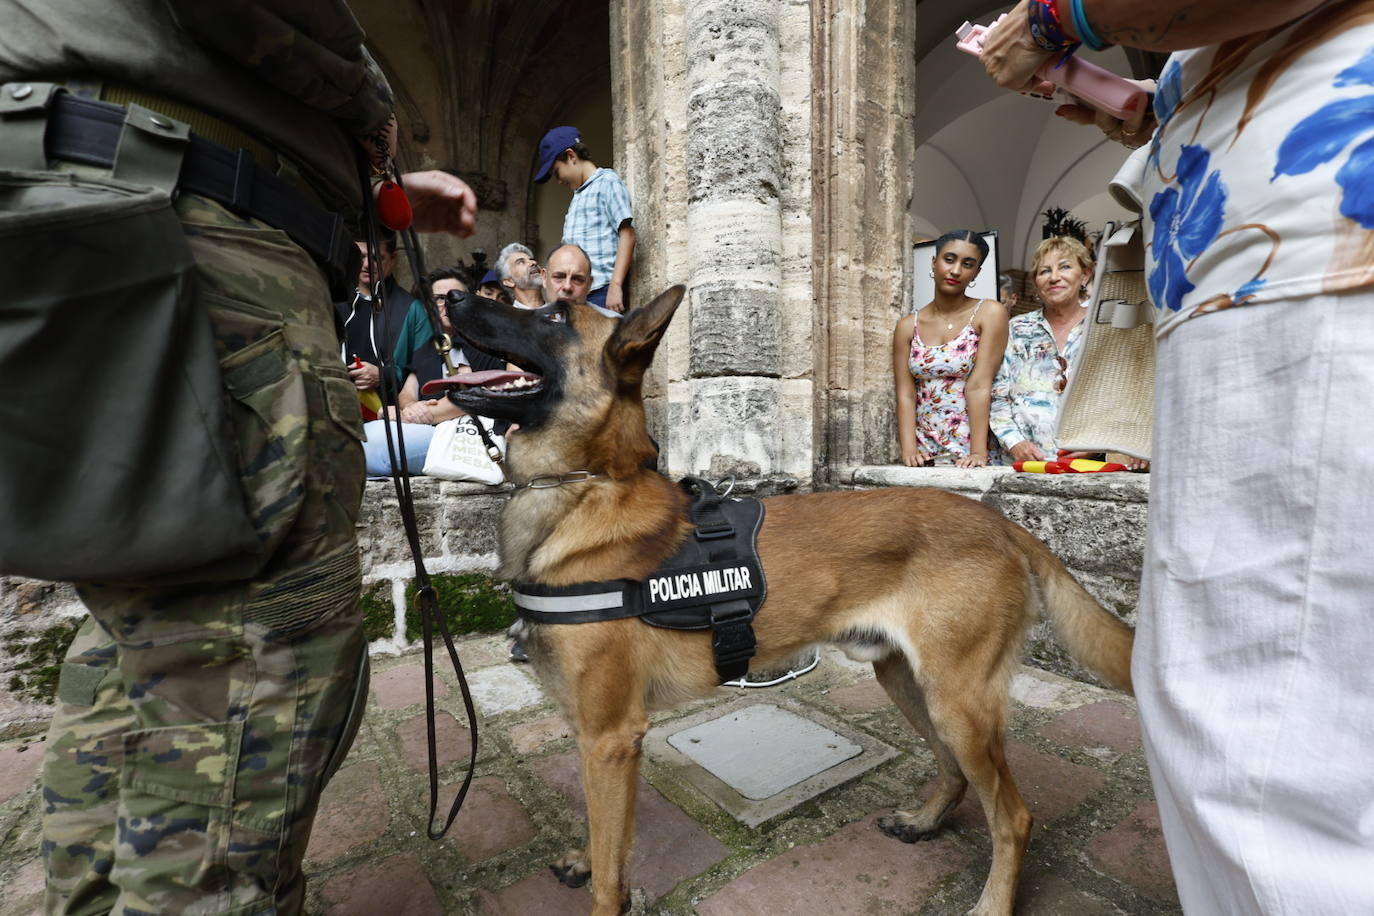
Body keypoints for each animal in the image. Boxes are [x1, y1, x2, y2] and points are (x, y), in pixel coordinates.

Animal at [434, 287, 1132, 916]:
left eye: (554, 314)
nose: (451, 296)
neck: (584, 488)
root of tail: (1002, 523)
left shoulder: (610, 738)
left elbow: (611, 874)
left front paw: (599, 880)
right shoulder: (589, 733)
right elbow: (599, 833)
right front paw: (583, 855)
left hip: (958, 702)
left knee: (1013, 816)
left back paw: (991, 903)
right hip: (912, 685)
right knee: (956, 773)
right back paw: (925, 821)